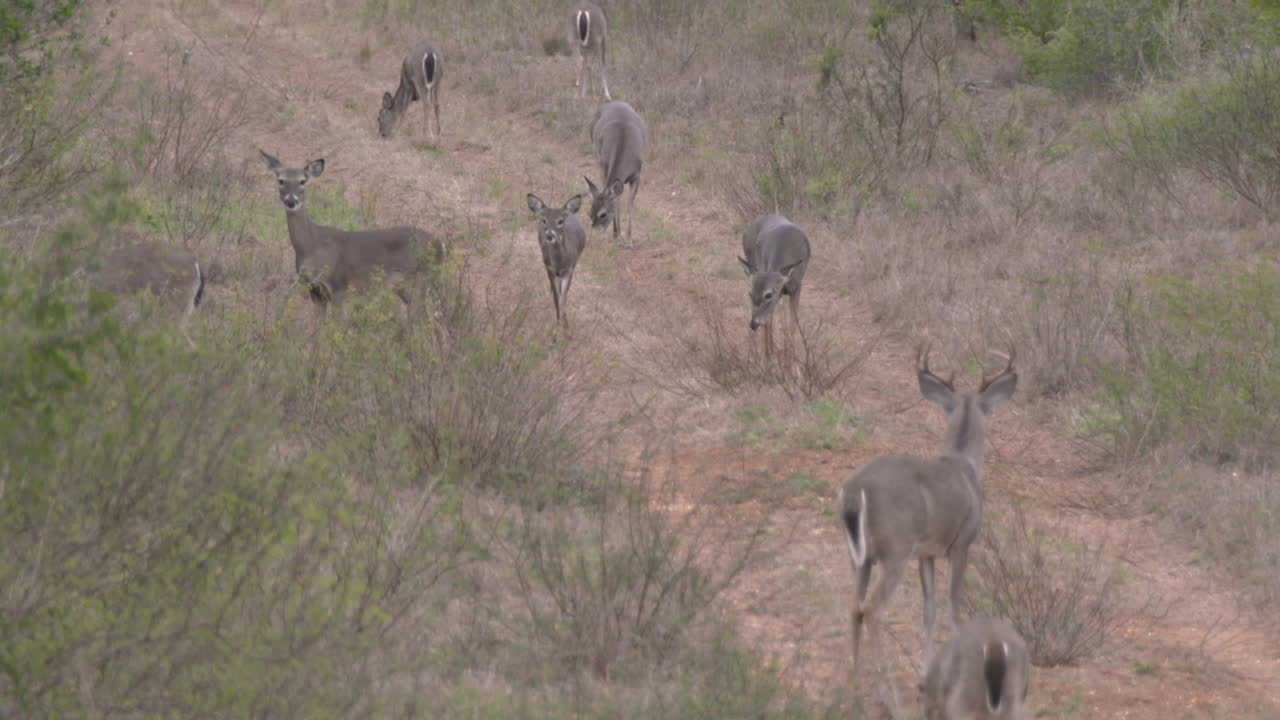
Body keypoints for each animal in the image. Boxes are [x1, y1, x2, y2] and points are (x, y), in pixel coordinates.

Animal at [259, 150, 445, 317]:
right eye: (280, 180)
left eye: (303, 181)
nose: (291, 201)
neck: (312, 247)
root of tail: (440, 245)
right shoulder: (315, 291)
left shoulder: (339, 286)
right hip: (406, 287)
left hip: (420, 280)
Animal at [526, 192, 587, 341]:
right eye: (544, 220)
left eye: (560, 221)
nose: (549, 235)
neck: (560, 263)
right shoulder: (550, 269)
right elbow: (556, 299)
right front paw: (555, 334)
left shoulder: (569, 270)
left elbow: (563, 300)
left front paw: (568, 333)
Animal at [584, 101, 647, 248]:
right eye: (590, 213)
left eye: (603, 214)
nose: (594, 235)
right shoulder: (604, 168)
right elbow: (616, 202)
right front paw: (616, 235)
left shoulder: (637, 175)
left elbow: (629, 206)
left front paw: (629, 241)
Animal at [737, 215, 810, 358]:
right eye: (750, 294)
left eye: (768, 294)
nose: (753, 324)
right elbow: (769, 323)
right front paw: (768, 357)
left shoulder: (797, 287)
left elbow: (792, 324)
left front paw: (791, 358)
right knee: (769, 321)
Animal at [838, 346, 1018, 682]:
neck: (965, 465)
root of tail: (855, 491)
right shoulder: (962, 542)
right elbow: (952, 603)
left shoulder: (927, 552)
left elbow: (929, 609)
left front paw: (925, 671)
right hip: (896, 548)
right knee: (872, 608)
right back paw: (880, 673)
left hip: (860, 556)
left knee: (854, 605)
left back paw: (854, 674)